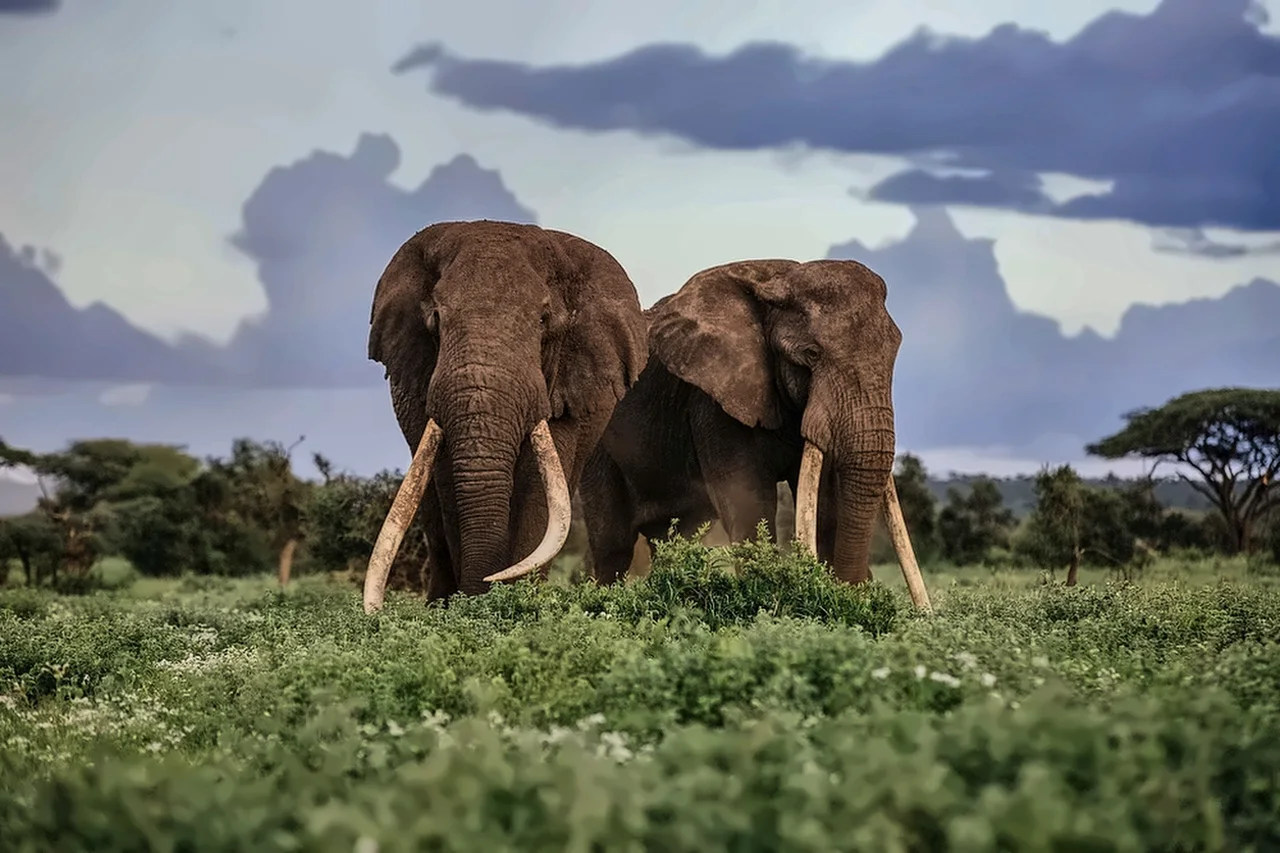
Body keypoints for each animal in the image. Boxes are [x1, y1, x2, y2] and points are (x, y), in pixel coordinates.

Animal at [362, 220, 648, 612]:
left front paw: (518, 603)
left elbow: (537, 486)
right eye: (436, 319)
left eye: (544, 321)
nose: (486, 585)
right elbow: (449, 480)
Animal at [578, 258, 931, 610]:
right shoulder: (715, 401)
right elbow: (749, 504)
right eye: (811, 355)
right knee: (613, 547)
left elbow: (827, 504)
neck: (777, 282)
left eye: (894, 353)